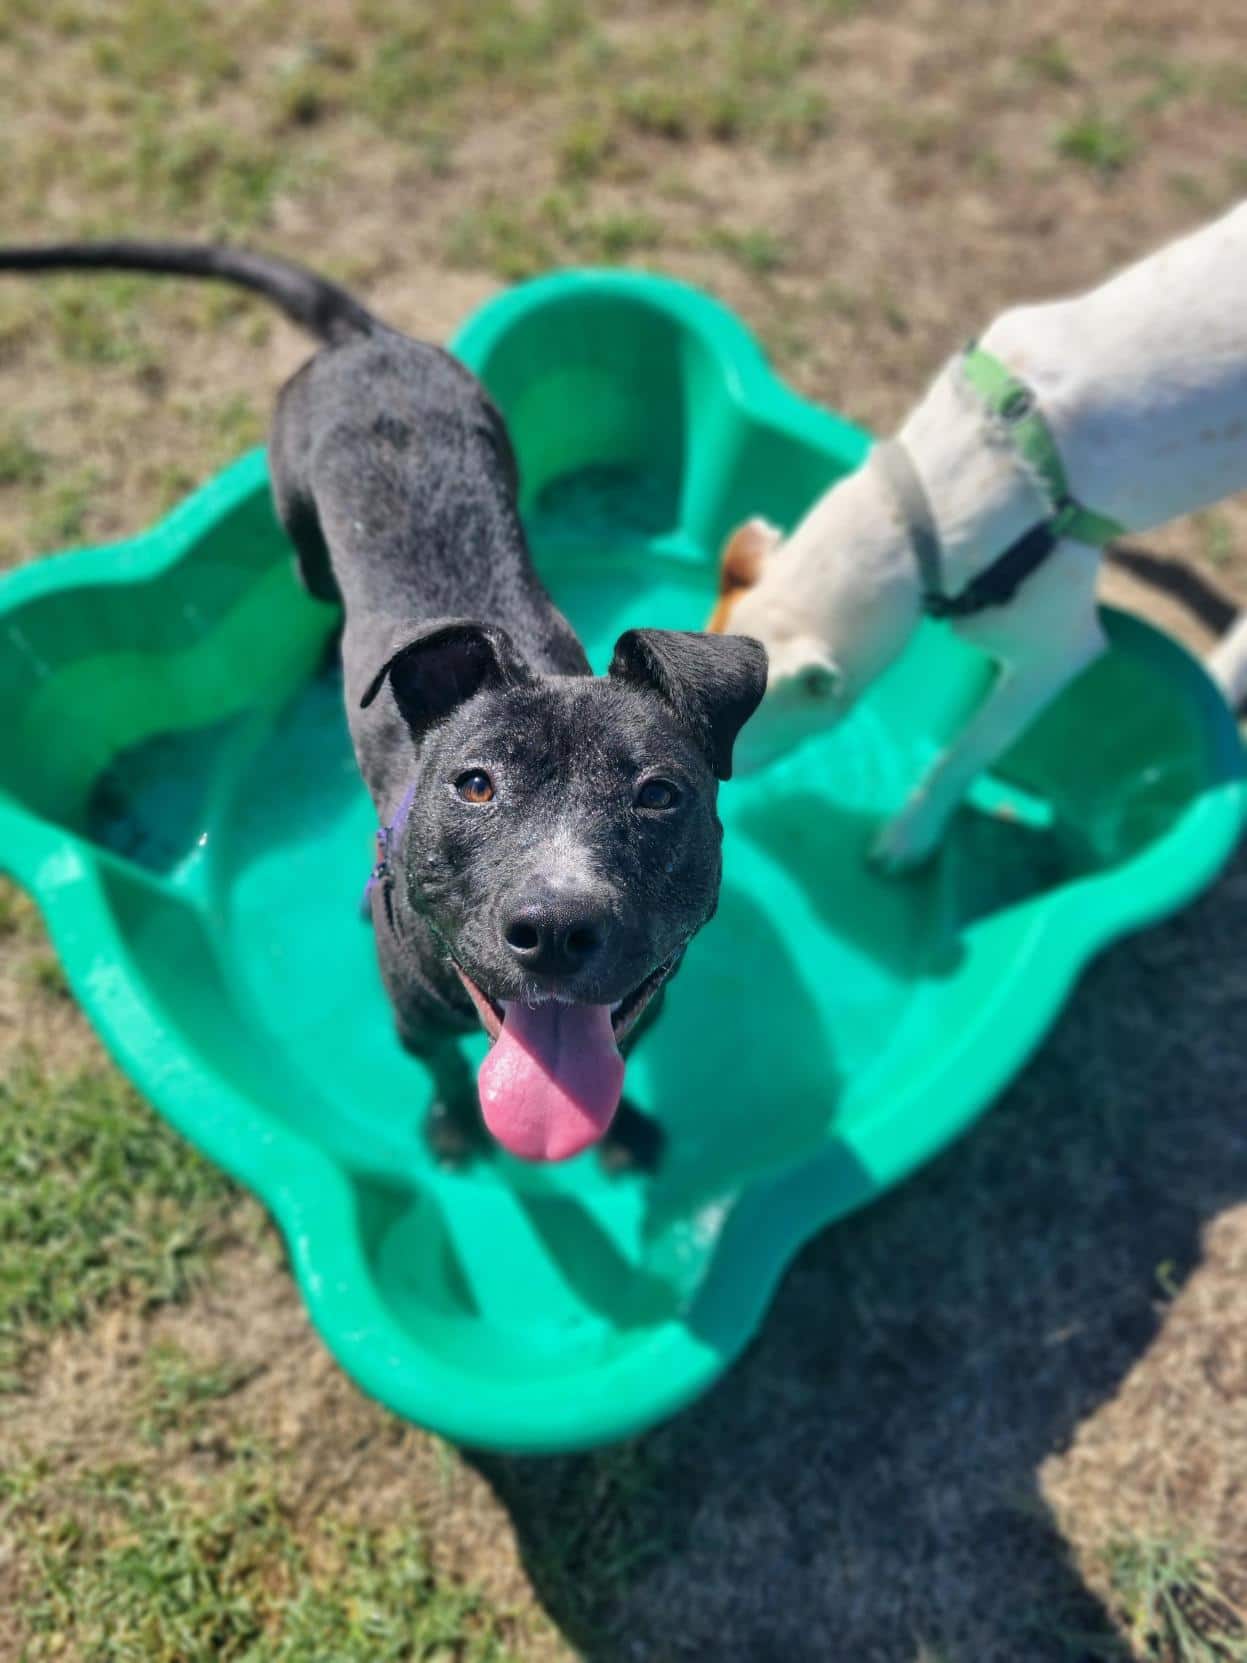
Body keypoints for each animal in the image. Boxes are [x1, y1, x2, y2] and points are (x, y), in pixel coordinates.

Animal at [0, 241, 767, 1167]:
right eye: (474, 785)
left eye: (657, 794)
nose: (554, 925)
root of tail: (367, 340)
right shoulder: (412, 1022)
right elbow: (442, 1072)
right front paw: (450, 1127)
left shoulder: (643, 1008)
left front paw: (624, 1133)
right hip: (297, 513)